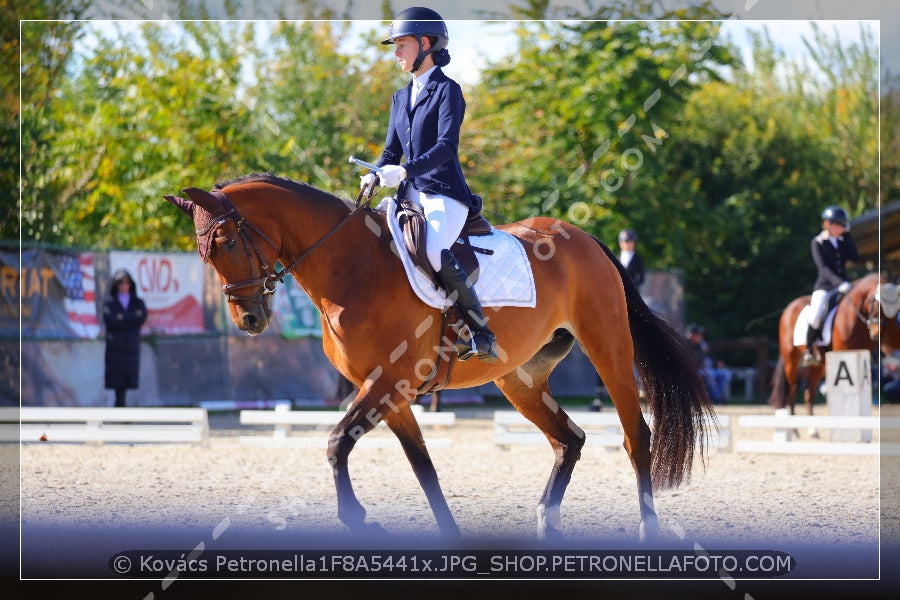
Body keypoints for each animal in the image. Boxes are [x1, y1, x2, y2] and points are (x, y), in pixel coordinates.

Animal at [163, 172, 716, 540]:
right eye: (205, 253)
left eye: (227, 241)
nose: (250, 320)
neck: (350, 268)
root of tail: (584, 239)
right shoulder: (389, 391)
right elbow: (421, 463)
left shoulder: (389, 382)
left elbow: (337, 443)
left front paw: (358, 519)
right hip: (519, 379)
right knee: (570, 438)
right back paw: (547, 520)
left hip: (609, 349)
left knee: (634, 435)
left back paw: (647, 530)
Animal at [768, 270, 900, 418]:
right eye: (875, 303)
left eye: (893, 310)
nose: (877, 335)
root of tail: (790, 307)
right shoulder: (842, 353)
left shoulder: (861, 353)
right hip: (791, 360)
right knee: (792, 393)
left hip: (820, 365)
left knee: (809, 393)